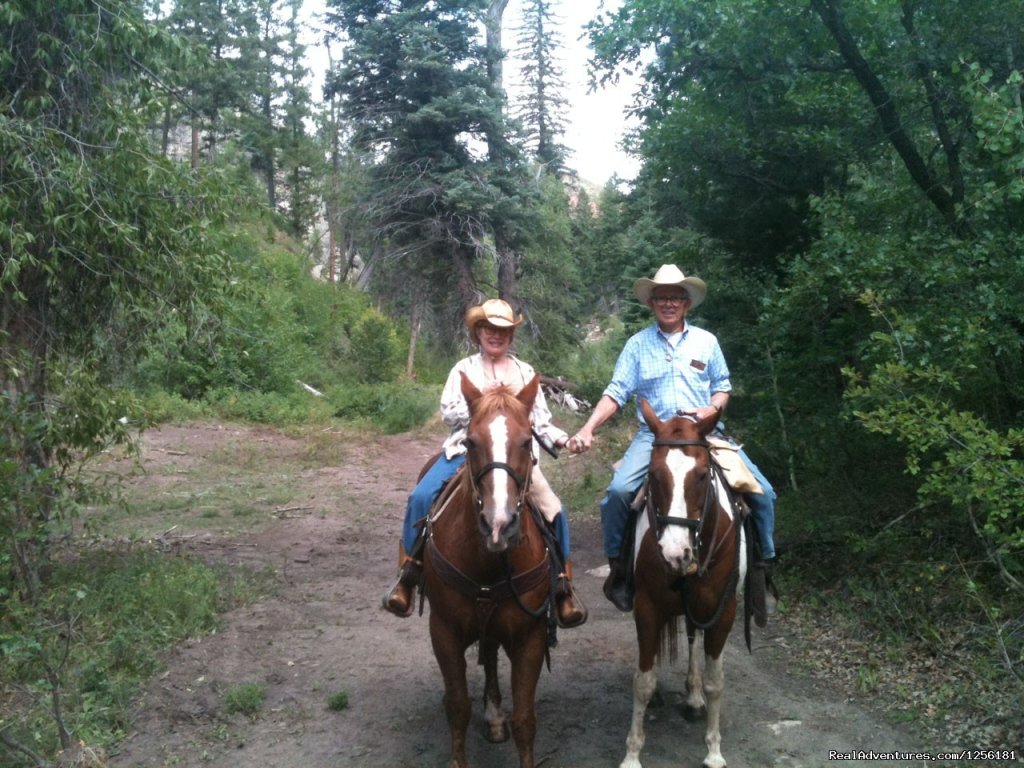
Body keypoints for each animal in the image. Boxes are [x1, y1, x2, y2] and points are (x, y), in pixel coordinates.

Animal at [421, 372, 557, 768]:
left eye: (527, 441)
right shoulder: (444, 632)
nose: (499, 525)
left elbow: (525, 719)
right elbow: (457, 707)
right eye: (470, 441)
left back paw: (496, 717)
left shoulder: (530, 637)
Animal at [618, 403, 749, 768]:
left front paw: (714, 751)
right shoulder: (647, 607)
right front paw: (632, 754)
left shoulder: (724, 610)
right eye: (653, 474)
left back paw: (693, 697)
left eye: (703, 475)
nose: (676, 552)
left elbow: (716, 682)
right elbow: (643, 682)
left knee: (693, 638)